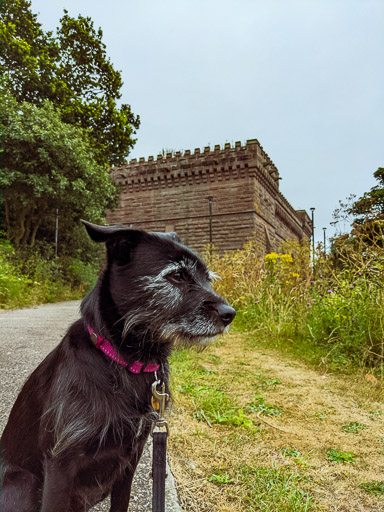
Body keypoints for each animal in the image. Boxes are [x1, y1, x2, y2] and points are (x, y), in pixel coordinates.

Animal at [0, 221, 236, 512]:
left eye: (207, 278)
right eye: (177, 275)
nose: (230, 314)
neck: (126, 362)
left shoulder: (130, 460)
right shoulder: (59, 463)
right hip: (24, 481)